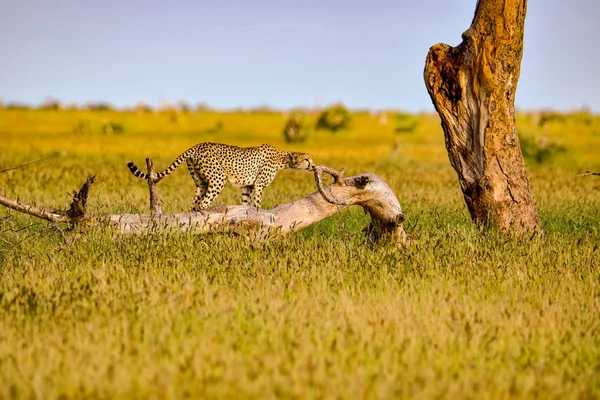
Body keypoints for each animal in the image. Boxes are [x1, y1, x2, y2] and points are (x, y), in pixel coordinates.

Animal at [126, 142, 314, 209]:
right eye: (307, 159)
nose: (314, 166)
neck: (282, 157)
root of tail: (198, 145)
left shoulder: (247, 185)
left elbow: (246, 202)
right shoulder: (259, 185)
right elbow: (257, 203)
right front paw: (259, 213)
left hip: (201, 182)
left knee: (194, 204)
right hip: (218, 179)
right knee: (203, 203)